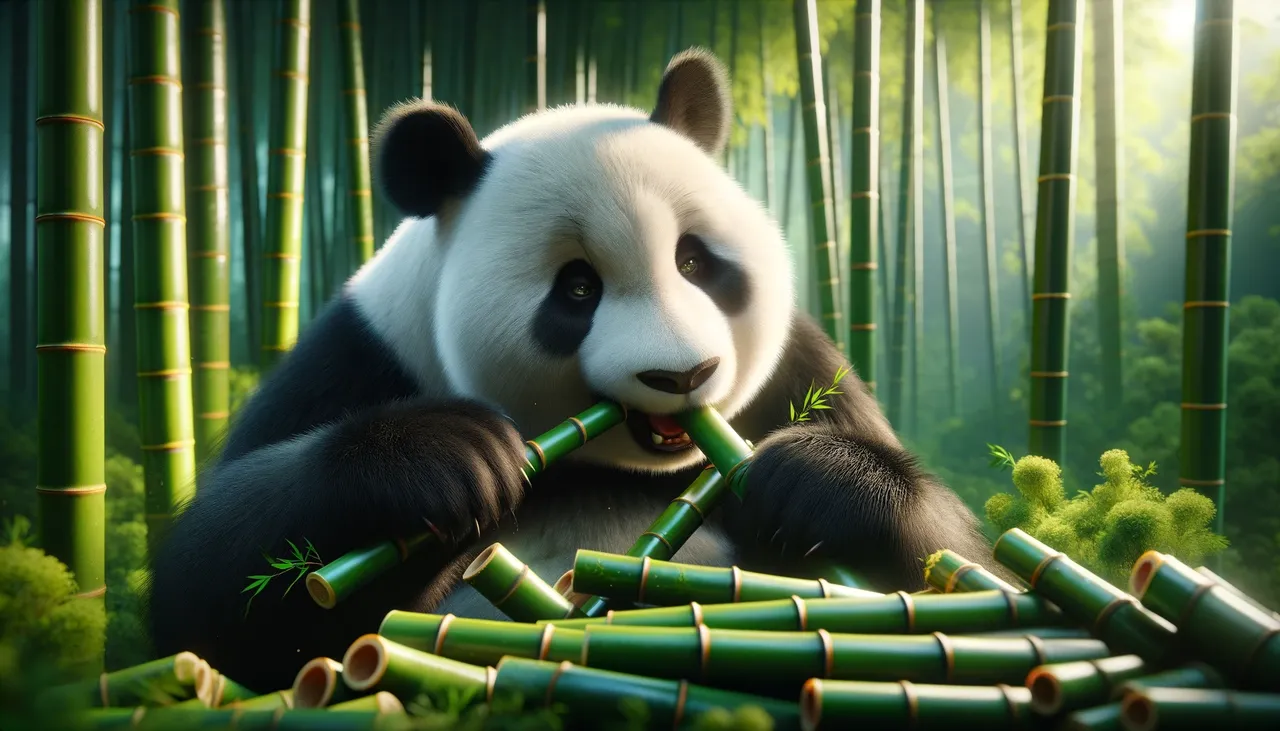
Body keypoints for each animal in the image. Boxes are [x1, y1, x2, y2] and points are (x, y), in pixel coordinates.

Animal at [146, 49, 999, 694]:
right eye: (577, 288)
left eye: (695, 261)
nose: (684, 375)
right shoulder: (362, 356)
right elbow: (210, 600)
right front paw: (448, 458)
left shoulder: (797, 372)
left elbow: (966, 567)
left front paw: (814, 481)